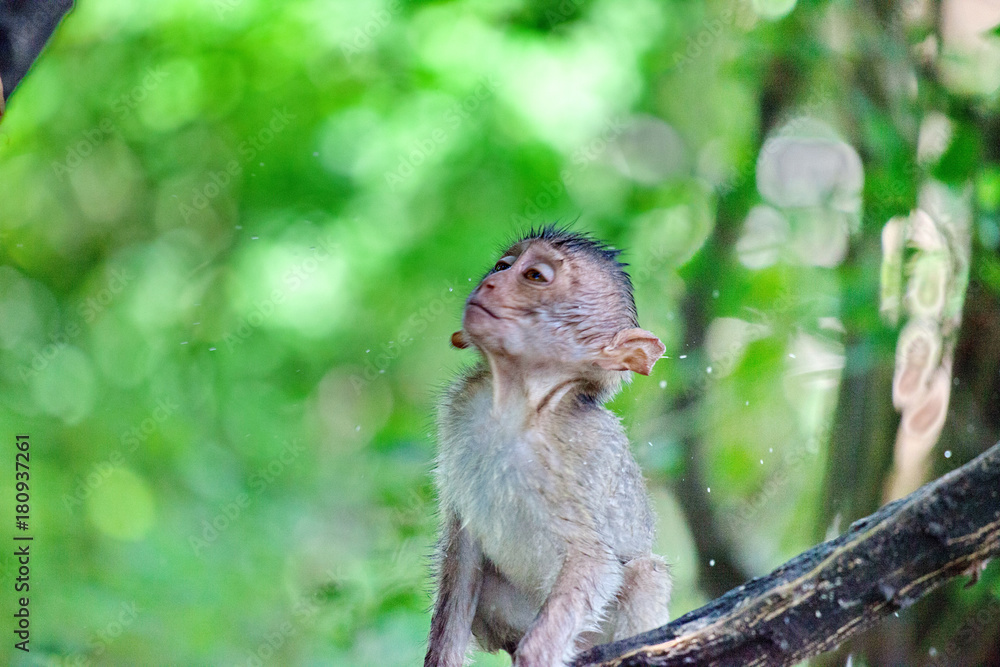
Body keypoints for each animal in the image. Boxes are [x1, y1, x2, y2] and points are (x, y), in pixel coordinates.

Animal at [424, 227, 672, 664]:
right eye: (502, 266)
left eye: (534, 276)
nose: (489, 283)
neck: (519, 407)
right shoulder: (460, 411)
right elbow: (463, 553)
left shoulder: (586, 452)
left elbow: (594, 559)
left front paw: (535, 654)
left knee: (646, 573)